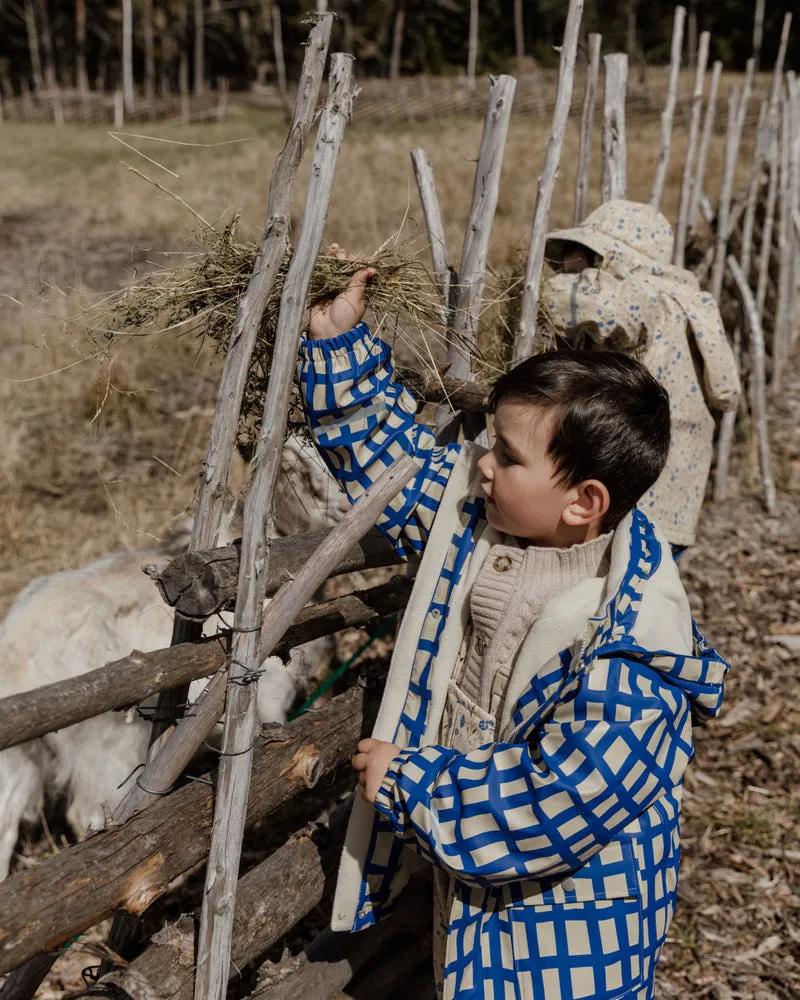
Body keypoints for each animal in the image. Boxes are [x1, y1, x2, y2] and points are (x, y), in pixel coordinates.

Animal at [0, 438, 342, 876]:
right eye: (310, 474)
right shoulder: (265, 699)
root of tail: (17, 648)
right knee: (90, 814)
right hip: (104, 741)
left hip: (21, 758)